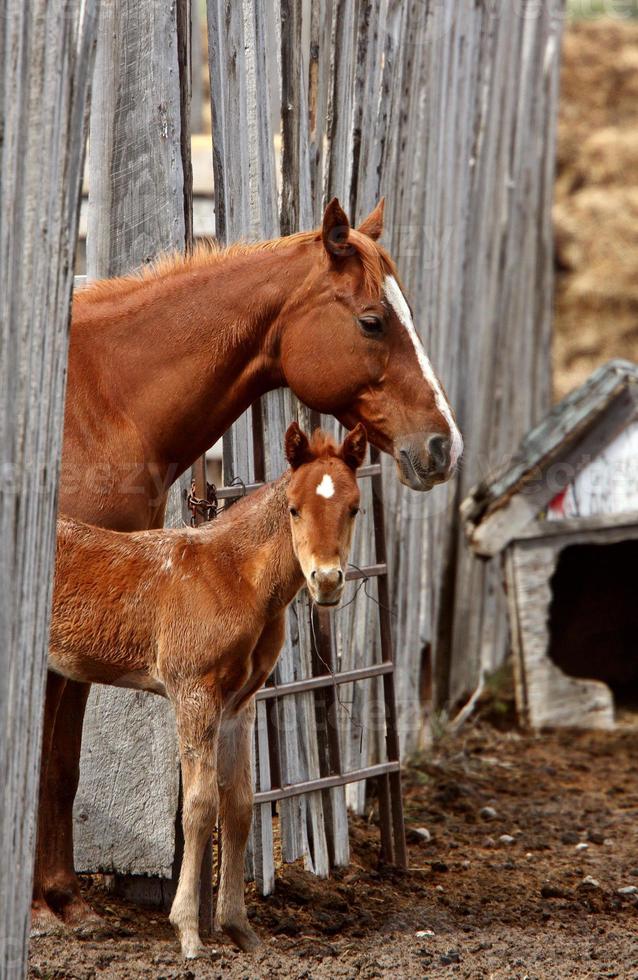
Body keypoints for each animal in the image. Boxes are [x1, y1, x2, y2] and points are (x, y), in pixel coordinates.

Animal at [50, 424, 368, 956]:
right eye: (294, 508)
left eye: (355, 508)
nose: (326, 581)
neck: (233, 575)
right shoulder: (194, 693)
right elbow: (200, 807)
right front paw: (189, 931)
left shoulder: (240, 704)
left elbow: (238, 804)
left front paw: (241, 929)